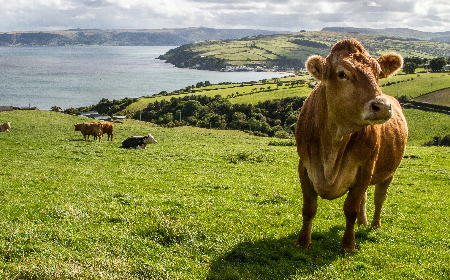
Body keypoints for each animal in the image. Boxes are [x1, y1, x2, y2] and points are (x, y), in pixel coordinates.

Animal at [296, 39, 408, 254]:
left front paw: (348, 245)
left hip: (389, 172)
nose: (382, 106)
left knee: (379, 197)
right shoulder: (304, 166)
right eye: (342, 74)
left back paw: (374, 225)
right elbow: (309, 207)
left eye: (377, 72)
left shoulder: (365, 168)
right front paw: (302, 242)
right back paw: (363, 223)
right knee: (365, 198)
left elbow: (351, 209)